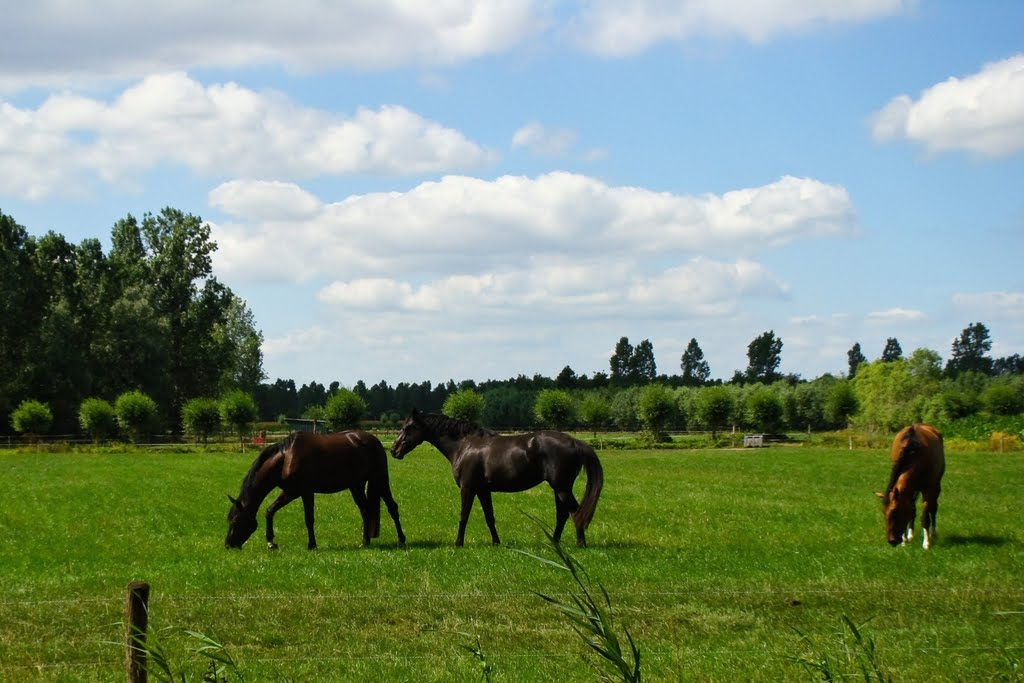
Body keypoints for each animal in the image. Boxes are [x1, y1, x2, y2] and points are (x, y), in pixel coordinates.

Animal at [226, 430, 405, 552]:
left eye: (235, 521)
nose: (228, 545)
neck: (286, 458)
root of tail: (374, 440)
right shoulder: (290, 492)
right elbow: (270, 511)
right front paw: (271, 542)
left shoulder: (306, 492)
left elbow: (309, 519)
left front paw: (311, 545)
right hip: (356, 486)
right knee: (366, 510)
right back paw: (365, 542)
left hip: (380, 480)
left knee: (392, 507)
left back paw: (401, 539)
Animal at [389, 409, 598, 548]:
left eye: (408, 427)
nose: (393, 450)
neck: (464, 445)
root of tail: (576, 442)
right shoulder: (483, 490)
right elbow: (489, 517)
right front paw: (496, 542)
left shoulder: (468, 488)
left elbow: (464, 515)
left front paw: (458, 543)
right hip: (559, 489)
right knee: (563, 515)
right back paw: (554, 543)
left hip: (562, 488)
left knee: (576, 511)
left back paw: (580, 544)